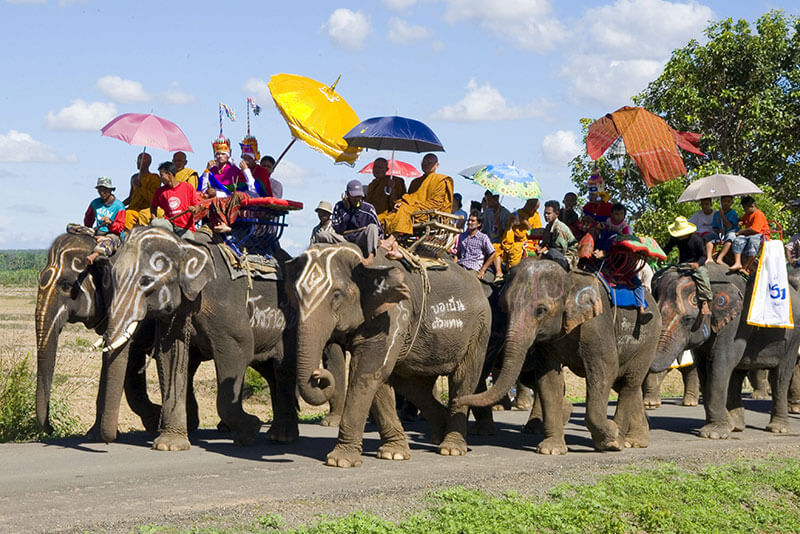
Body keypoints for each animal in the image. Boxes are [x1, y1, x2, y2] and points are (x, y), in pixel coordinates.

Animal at [101, 226, 300, 452]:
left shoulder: (223, 301)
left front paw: (251, 430)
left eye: (146, 281)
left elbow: (239, 348)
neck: (185, 246)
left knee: (283, 368)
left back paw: (281, 438)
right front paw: (168, 446)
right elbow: (169, 357)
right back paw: (278, 435)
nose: (108, 441)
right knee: (270, 371)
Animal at [284, 244, 490, 468]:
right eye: (295, 295)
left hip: (479, 328)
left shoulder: (394, 314)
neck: (362, 260)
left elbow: (367, 372)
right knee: (413, 386)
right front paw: (393, 454)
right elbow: (376, 378)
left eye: (336, 295)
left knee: (463, 379)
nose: (317, 375)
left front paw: (340, 461)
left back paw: (451, 448)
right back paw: (439, 436)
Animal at [454, 258, 660, 456]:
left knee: (629, 382)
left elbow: (605, 369)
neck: (569, 279)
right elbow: (548, 378)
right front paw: (551, 449)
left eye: (541, 310)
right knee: (625, 383)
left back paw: (621, 440)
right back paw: (635, 441)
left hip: (647, 340)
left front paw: (611, 438)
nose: (456, 400)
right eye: (505, 307)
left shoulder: (596, 325)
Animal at [648, 262, 800, 440]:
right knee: (737, 375)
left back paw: (777, 429)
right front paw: (722, 428)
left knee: (780, 377)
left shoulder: (735, 324)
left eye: (688, 319)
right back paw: (736, 427)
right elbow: (704, 368)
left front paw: (713, 434)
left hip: (792, 337)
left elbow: (719, 363)